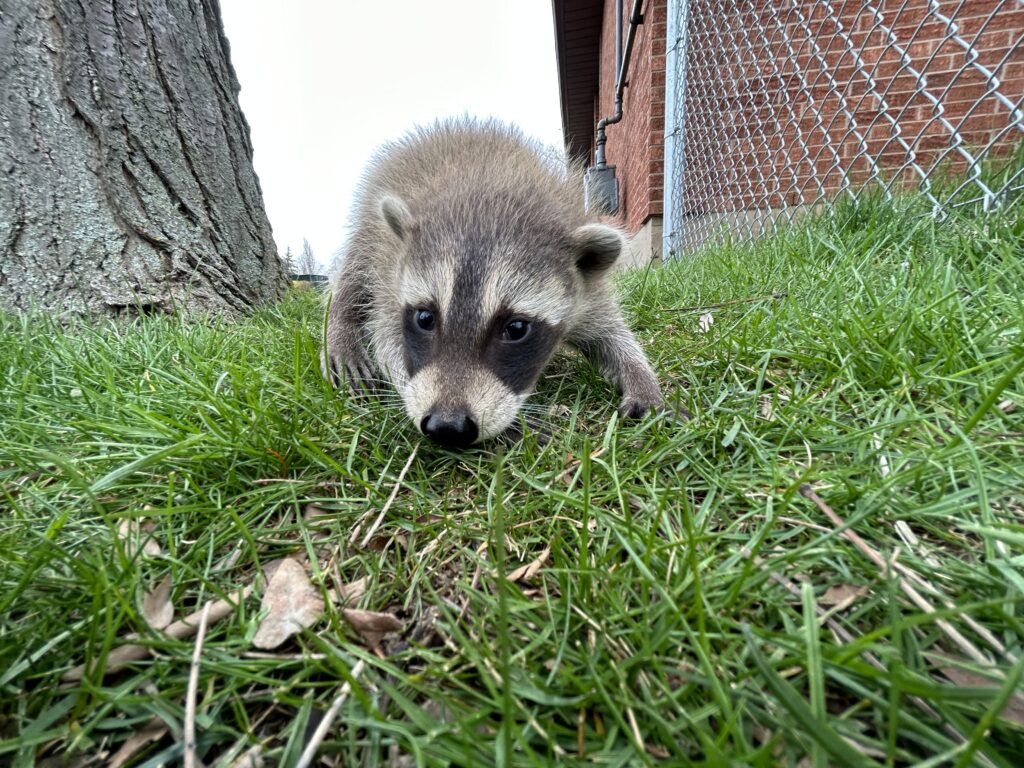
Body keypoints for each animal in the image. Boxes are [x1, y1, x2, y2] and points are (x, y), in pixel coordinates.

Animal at [323, 120, 667, 450]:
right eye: (424, 318)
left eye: (516, 328)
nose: (446, 426)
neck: (488, 190)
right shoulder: (391, 274)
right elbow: (388, 337)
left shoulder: (586, 288)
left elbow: (611, 334)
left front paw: (640, 377)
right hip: (372, 224)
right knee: (354, 274)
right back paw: (341, 328)